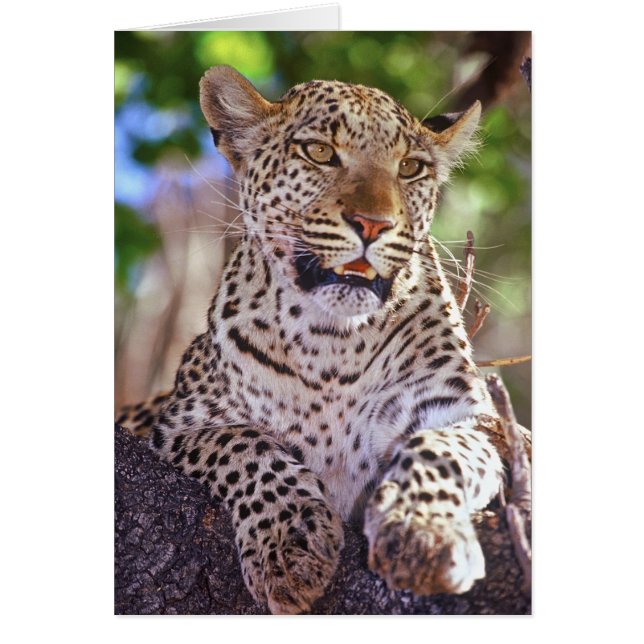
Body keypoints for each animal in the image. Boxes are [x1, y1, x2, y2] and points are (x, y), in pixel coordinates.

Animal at [117, 65, 508, 614]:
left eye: (410, 168)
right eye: (320, 152)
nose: (374, 224)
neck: (333, 343)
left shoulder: (467, 415)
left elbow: (439, 450)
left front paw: (420, 534)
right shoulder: (182, 425)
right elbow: (246, 447)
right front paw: (289, 544)